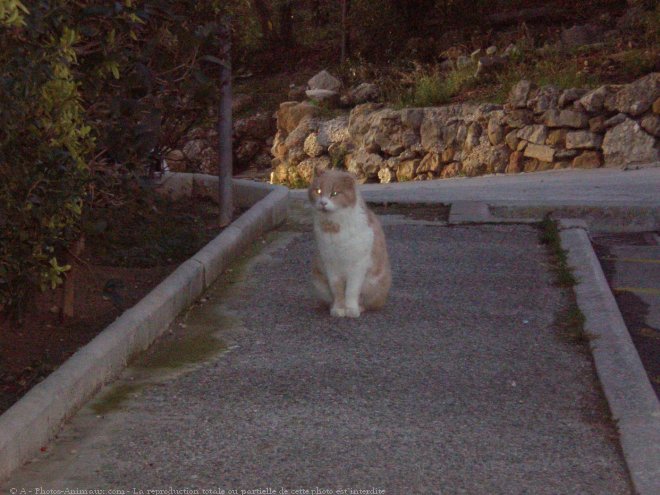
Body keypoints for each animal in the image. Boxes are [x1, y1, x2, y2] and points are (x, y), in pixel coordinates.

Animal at [310, 170, 392, 318]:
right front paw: (338, 309)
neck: (333, 227)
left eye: (334, 193)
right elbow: (337, 291)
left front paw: (351, 309)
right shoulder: (331, 265)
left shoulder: (357, 266)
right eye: (318, 191)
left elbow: (351, 291)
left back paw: (360, 307)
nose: (323, 202)